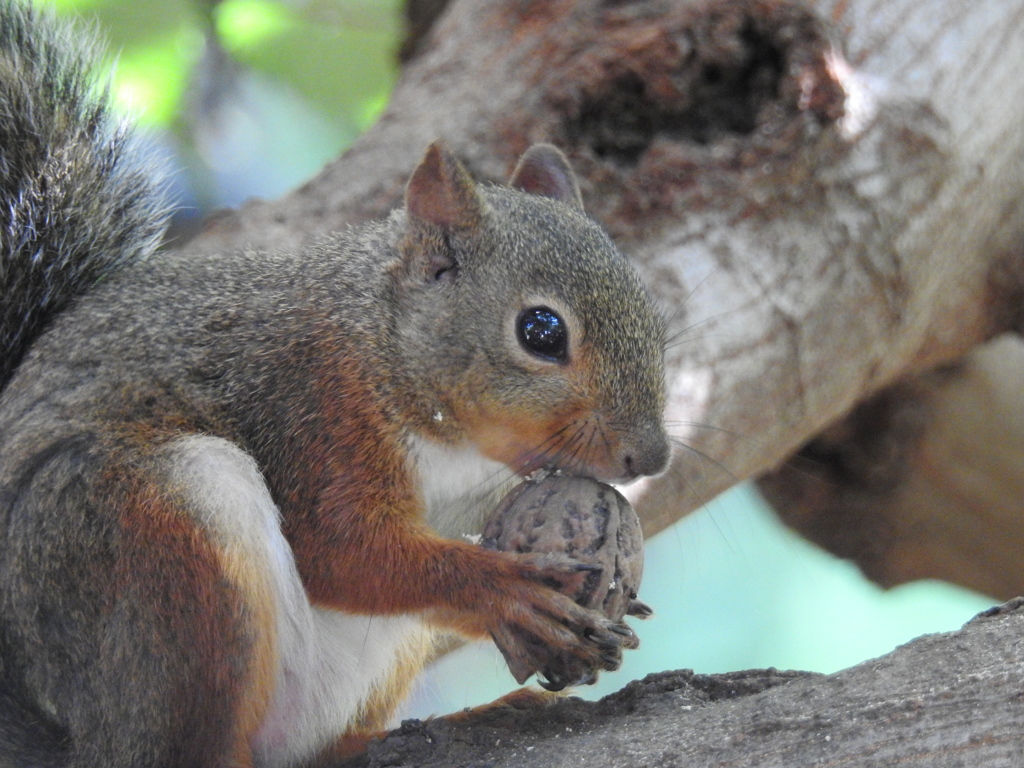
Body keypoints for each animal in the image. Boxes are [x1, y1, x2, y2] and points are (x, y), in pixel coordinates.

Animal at [0, 3, 671, 765]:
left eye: (654, 314)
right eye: (541, 332)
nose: (651, 457)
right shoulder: (314, 411)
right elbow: (345, 551)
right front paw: (507, 591)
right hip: (151, 532)